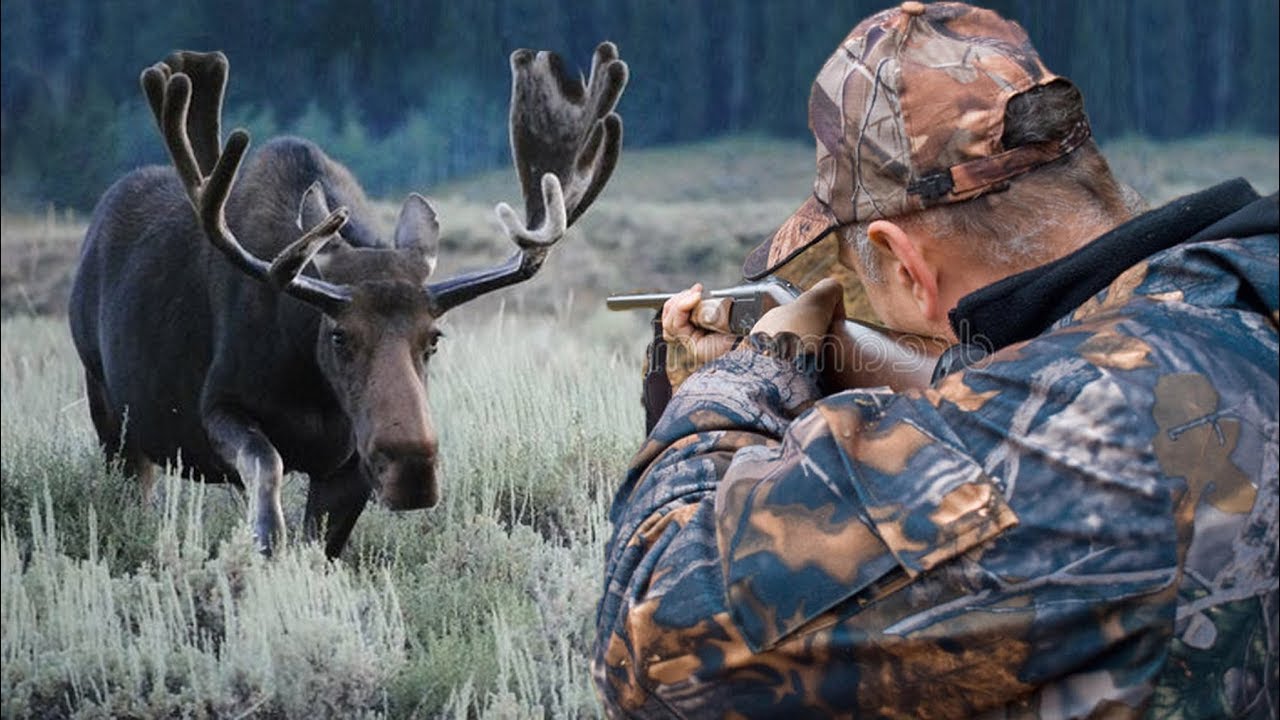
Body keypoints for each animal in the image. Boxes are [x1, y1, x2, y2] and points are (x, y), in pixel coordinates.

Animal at [70, 44, 629, 556]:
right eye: (339, 336)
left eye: (434, 339)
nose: (413, 470)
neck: (311, 391)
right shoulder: (219, 405)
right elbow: (267, 467)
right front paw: (264, 543)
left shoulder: (351, 462)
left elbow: (322, 548)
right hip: (110, 412)